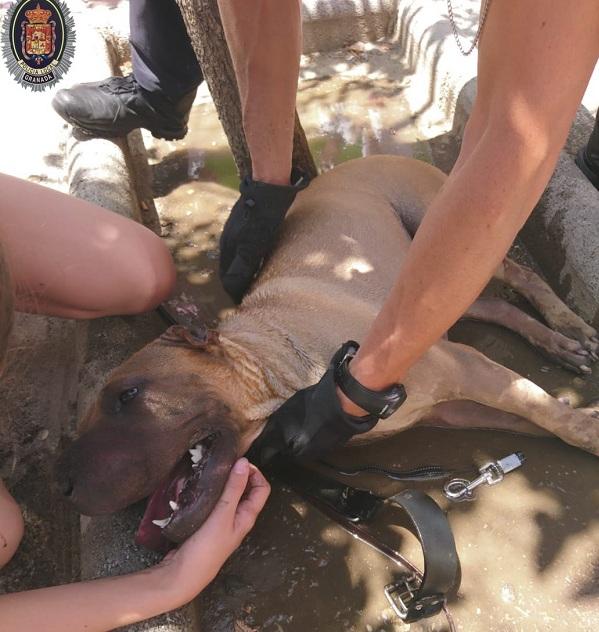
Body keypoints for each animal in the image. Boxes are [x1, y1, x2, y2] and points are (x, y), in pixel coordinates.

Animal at [57, 156, 599, 552]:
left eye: (128, 395)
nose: (64, 488)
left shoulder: (465, 368)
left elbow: (546, 411)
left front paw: (585, 427)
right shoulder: (455, 407)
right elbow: (537, 414)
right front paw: (584, 418)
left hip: (456, 237)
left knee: (522, 275)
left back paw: (568, 325)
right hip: (443, 287)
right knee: (498, 308)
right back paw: (558, 342)